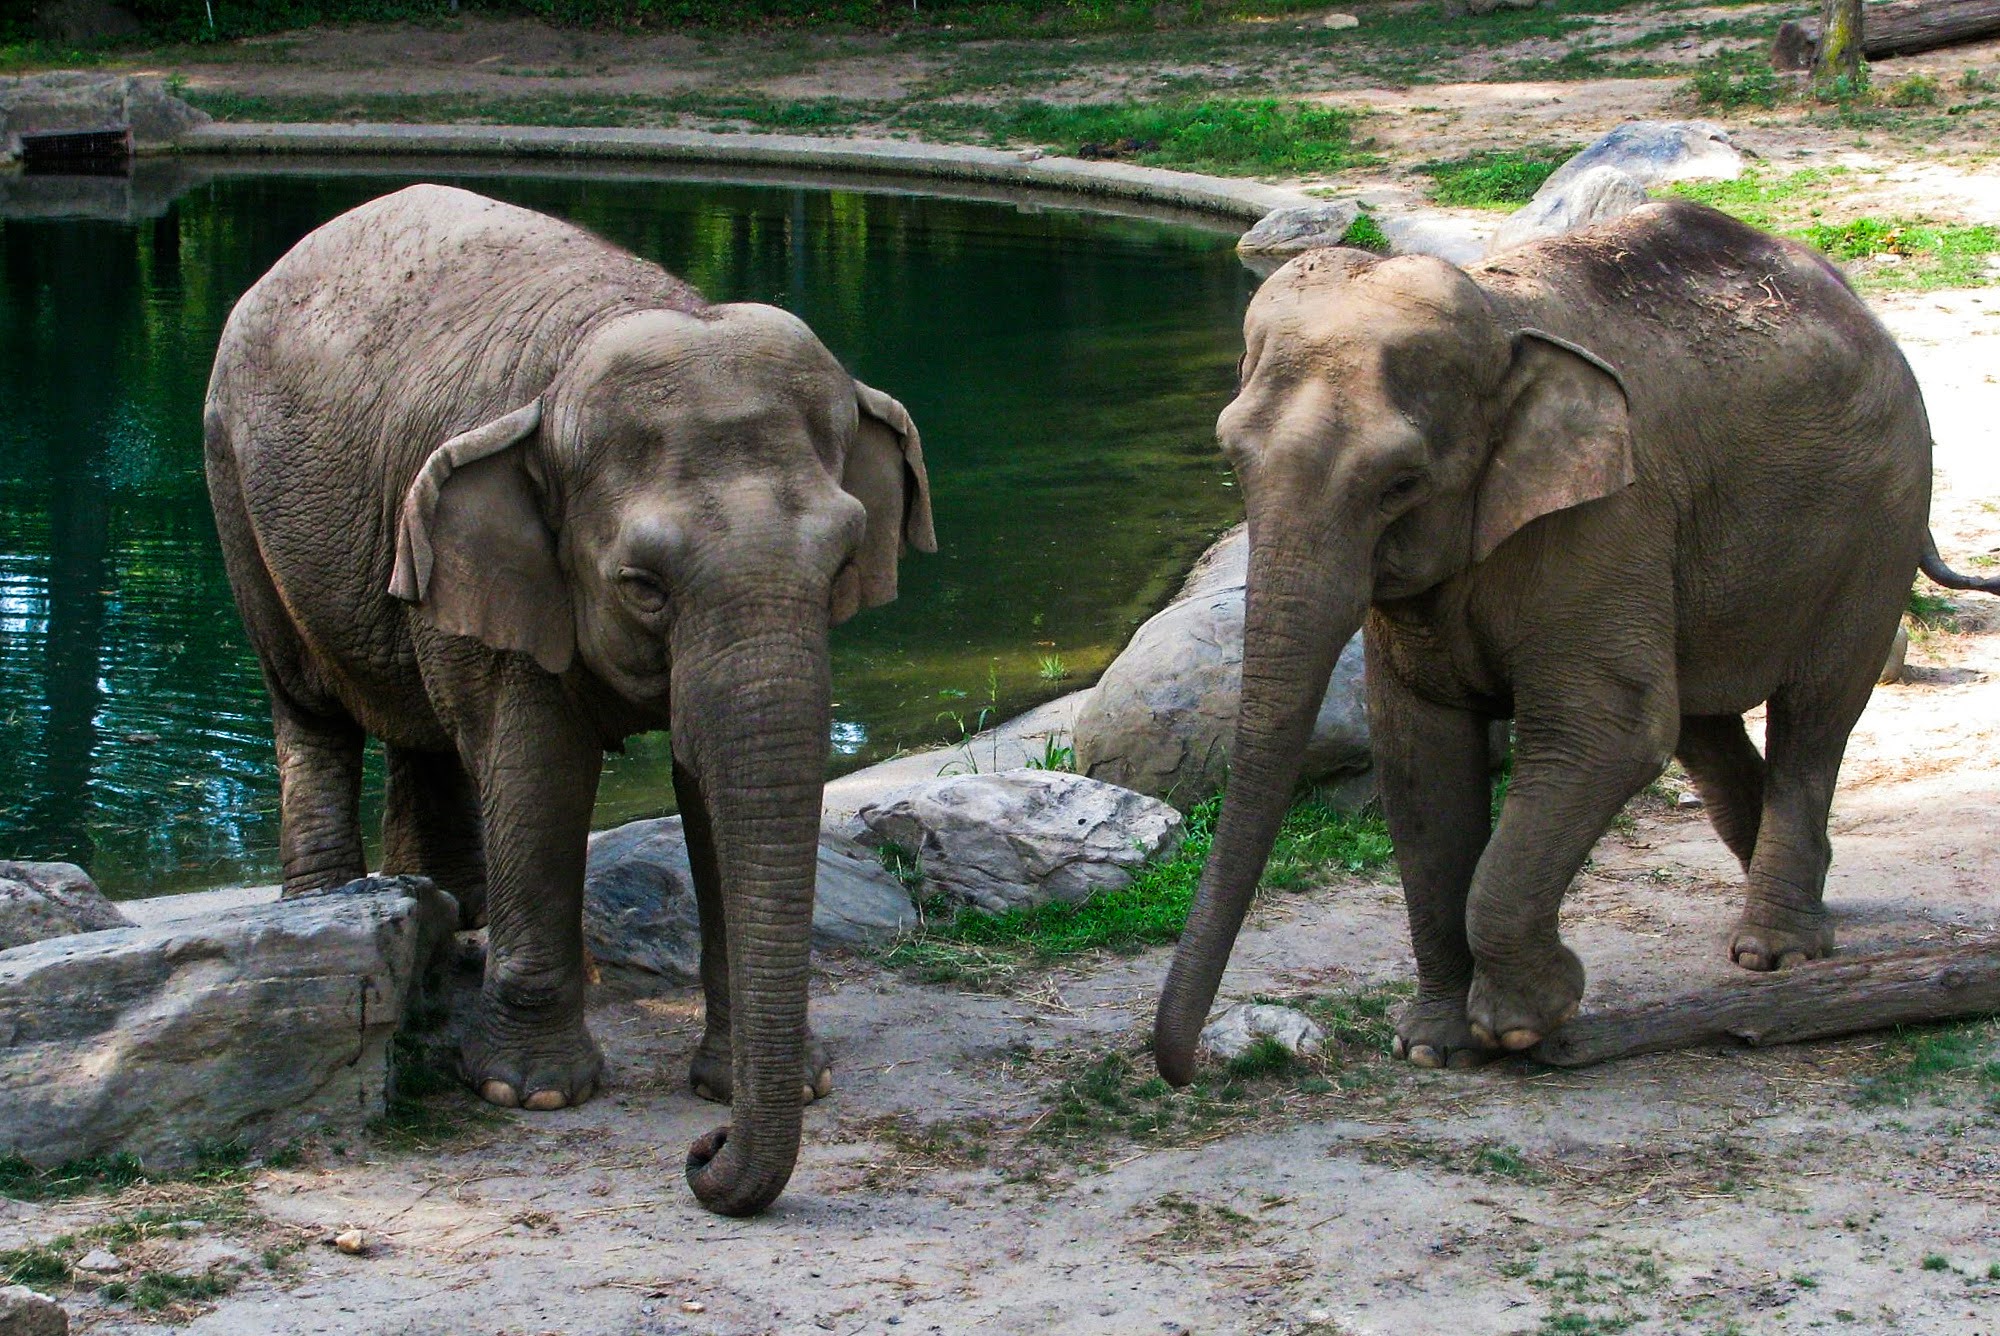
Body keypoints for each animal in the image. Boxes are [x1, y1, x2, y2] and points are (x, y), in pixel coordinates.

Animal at [204, 184, 934, 1215]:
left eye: (840, 566)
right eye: (643, 586)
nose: (703, 1153)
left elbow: (708, 781)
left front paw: (770, 1082)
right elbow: (539, 769)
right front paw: (531, 1092)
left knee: (424, 727)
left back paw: (454, 913)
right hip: (233, 485)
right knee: (309, 705)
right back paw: (330, 901)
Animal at [1153, 200, 1999, 1083]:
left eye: (1400, 484)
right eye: (1232, 457)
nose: (1183, 1069)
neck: (1499, 318)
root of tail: (1852, 297)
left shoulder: (1605, 520)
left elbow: (1608, 731)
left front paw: (1529, 1020)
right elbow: (1419, 756)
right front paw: (1430, 1045)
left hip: (1878, 517)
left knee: (1817, 710)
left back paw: (1776, 954)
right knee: (1705, 726)